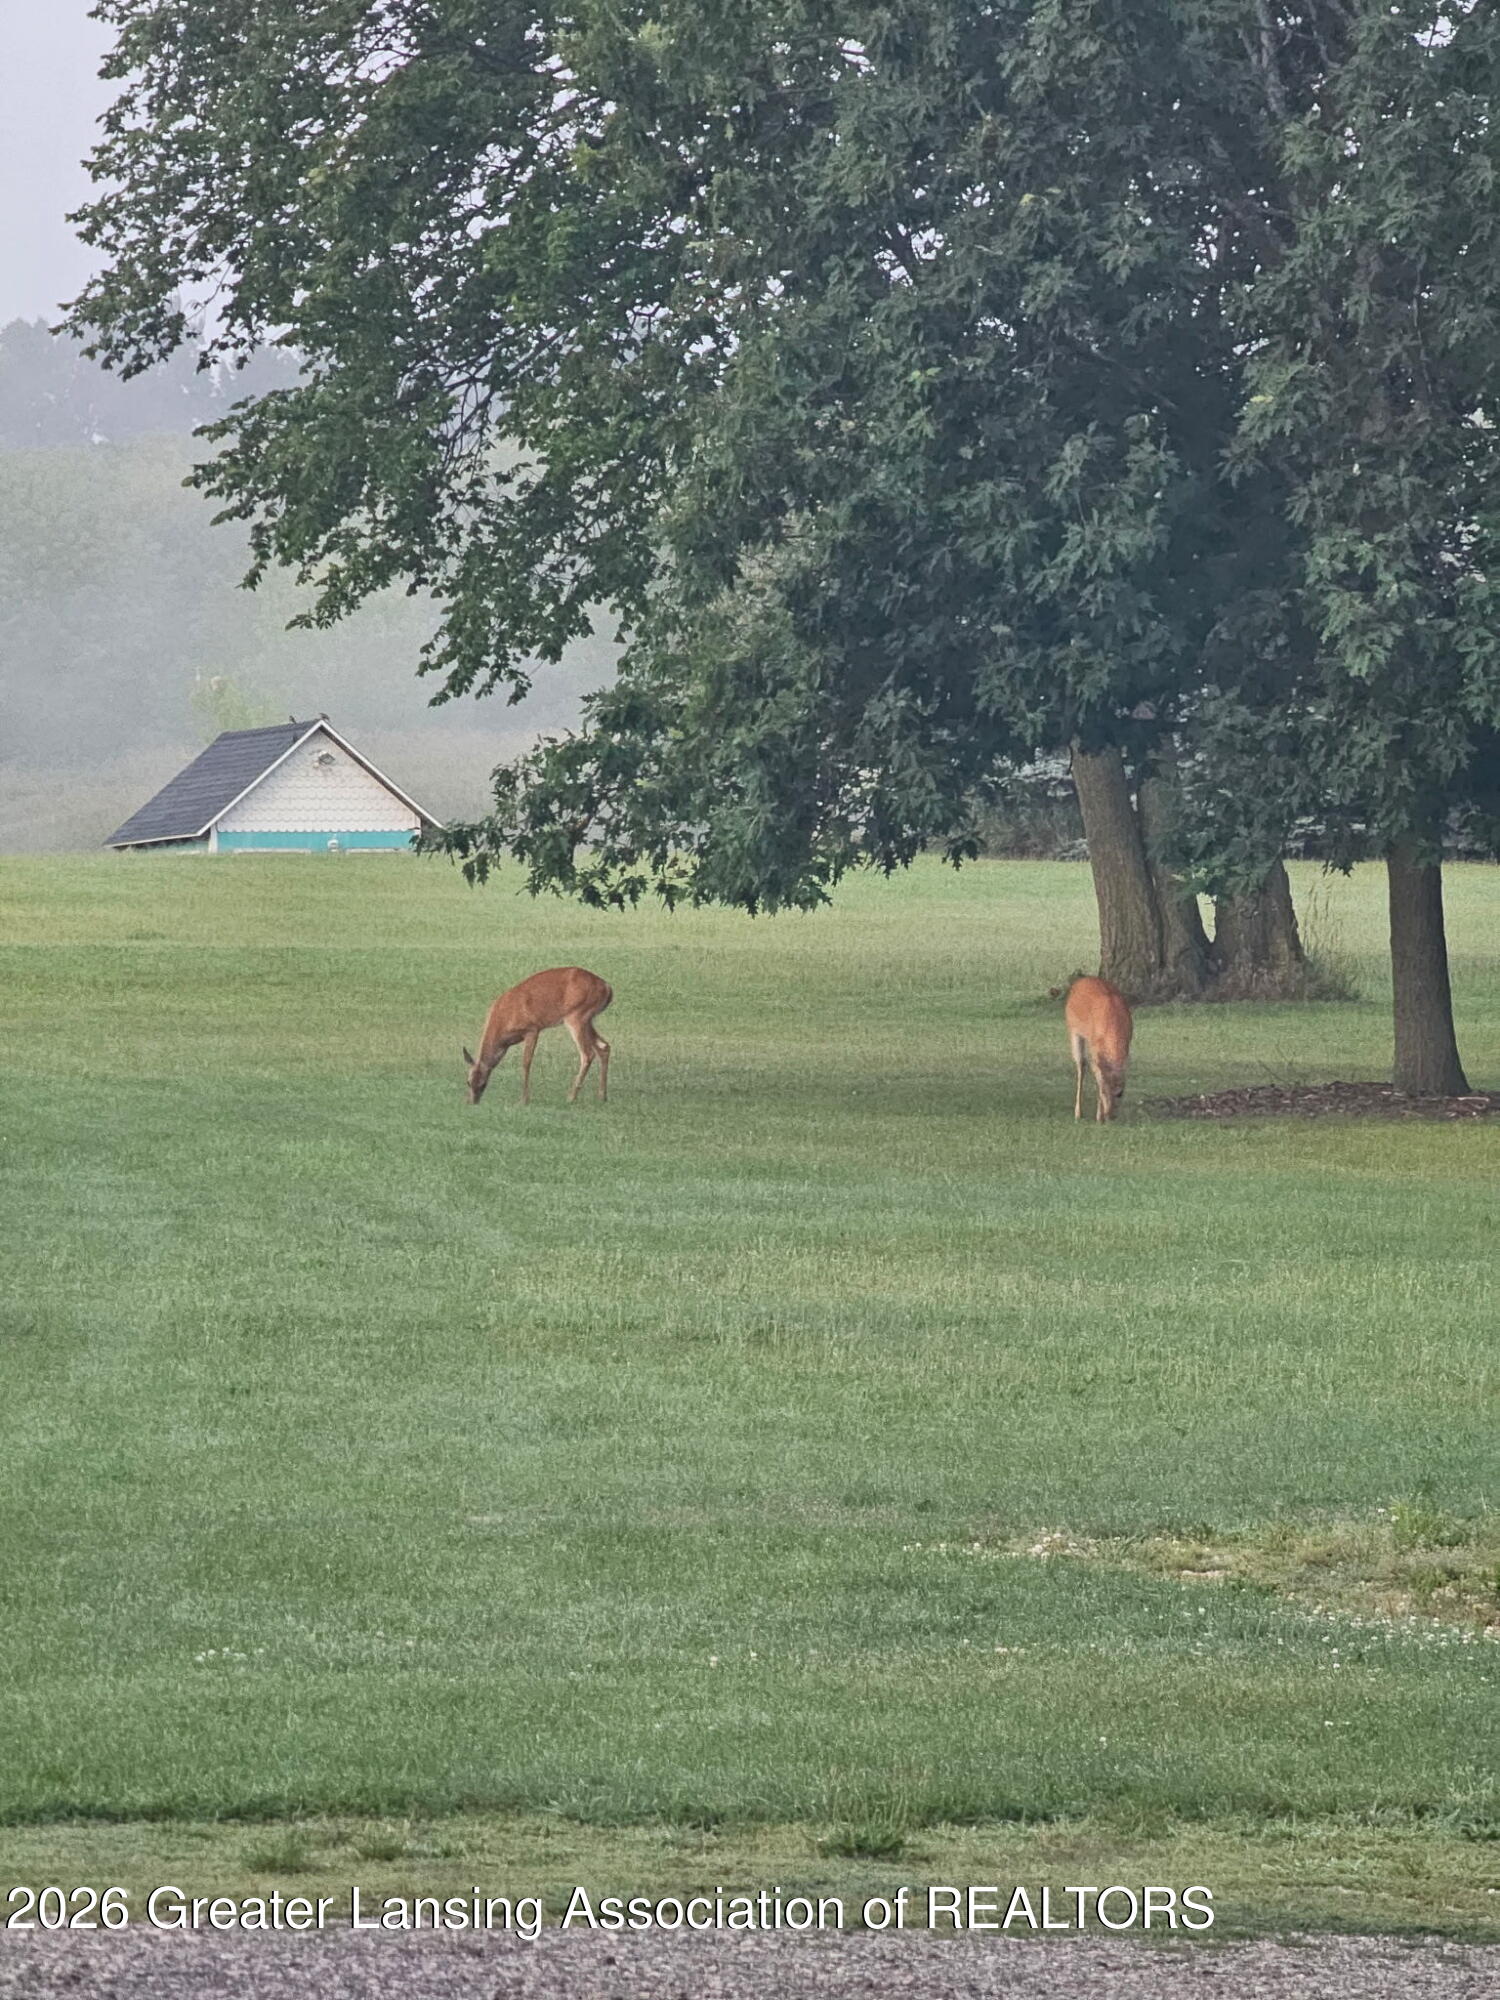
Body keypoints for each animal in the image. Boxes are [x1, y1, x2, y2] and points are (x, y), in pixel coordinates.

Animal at [463, 968, 613, 1107]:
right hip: (587, 1019)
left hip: (576, 1016)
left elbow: (526, 1062)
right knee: (604, 1046)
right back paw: (602, 1096)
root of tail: (607, 988)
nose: (473, 1102)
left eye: (483, 1084)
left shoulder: (532, 1029)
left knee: (588, 1053)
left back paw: (571, 1097)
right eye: (468, 1082)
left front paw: (524, 1100)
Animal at [1063, 974, 1133, 1122]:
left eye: (1120, 1093)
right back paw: (1078, 1113)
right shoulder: (1095, 1048)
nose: (1110, 1115)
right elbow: (1097, 1076)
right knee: (1081, 1066)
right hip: (1073, 1030)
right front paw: (1099, 1117)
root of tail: (1082, 979)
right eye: (1102, 1091)